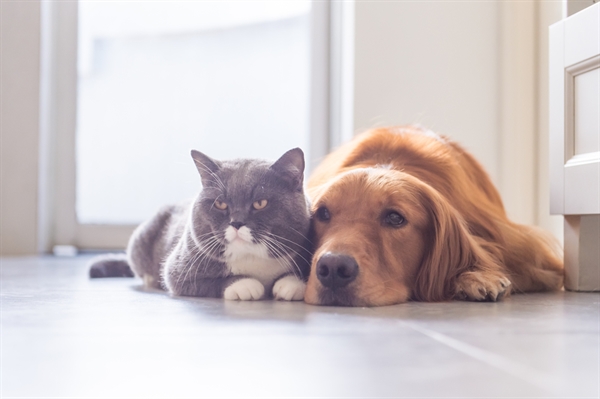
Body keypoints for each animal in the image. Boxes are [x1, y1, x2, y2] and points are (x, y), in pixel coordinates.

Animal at [91, 148, 314, 302]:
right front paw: (245, 285)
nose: (236, 222)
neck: (252, 258)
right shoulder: (178, 270)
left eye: (260, 203)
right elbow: (207, 282)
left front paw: (290, 284)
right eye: (220, 203)